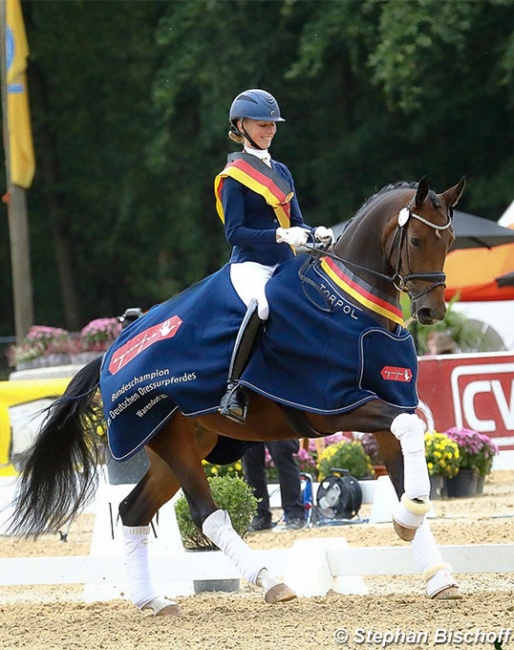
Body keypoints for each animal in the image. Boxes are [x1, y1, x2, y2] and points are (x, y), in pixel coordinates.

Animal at [9, 176, 464, 612]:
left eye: (451, 242)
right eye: (417, 240)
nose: (432, 312)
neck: (351, 308)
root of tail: (111, 352)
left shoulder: (389, 403)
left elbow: (406, 454)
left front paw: (431, 561)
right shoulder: (335, 404)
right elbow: (407, 429)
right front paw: (409, 522)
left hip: (181, 443)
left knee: (131, 510)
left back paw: (153, 601)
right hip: (172, 440)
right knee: (205, 514)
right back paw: (270, 582)